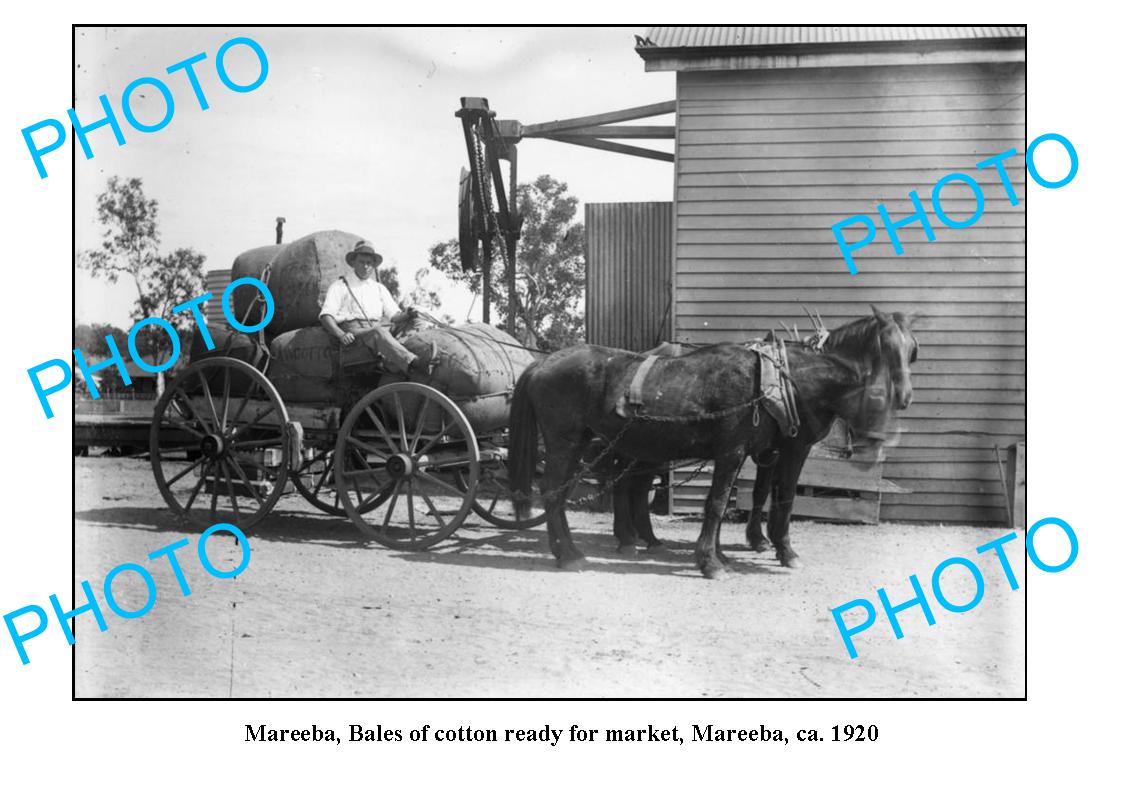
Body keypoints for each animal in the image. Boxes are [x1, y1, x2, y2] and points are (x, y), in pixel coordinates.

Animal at [514, 305, 916, 579]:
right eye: (884, 345)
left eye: (912, 349)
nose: (905, 397)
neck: (778, 384)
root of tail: (541, 363)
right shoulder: (753, 450)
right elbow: (736, 501)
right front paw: (722, 559)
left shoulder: (756, 452)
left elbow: (747, 497)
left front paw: (732, 551)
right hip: (565, 441)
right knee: (555, 492)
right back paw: (572, 553)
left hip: (598, 444)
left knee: (597, 491)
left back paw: (607, 544)